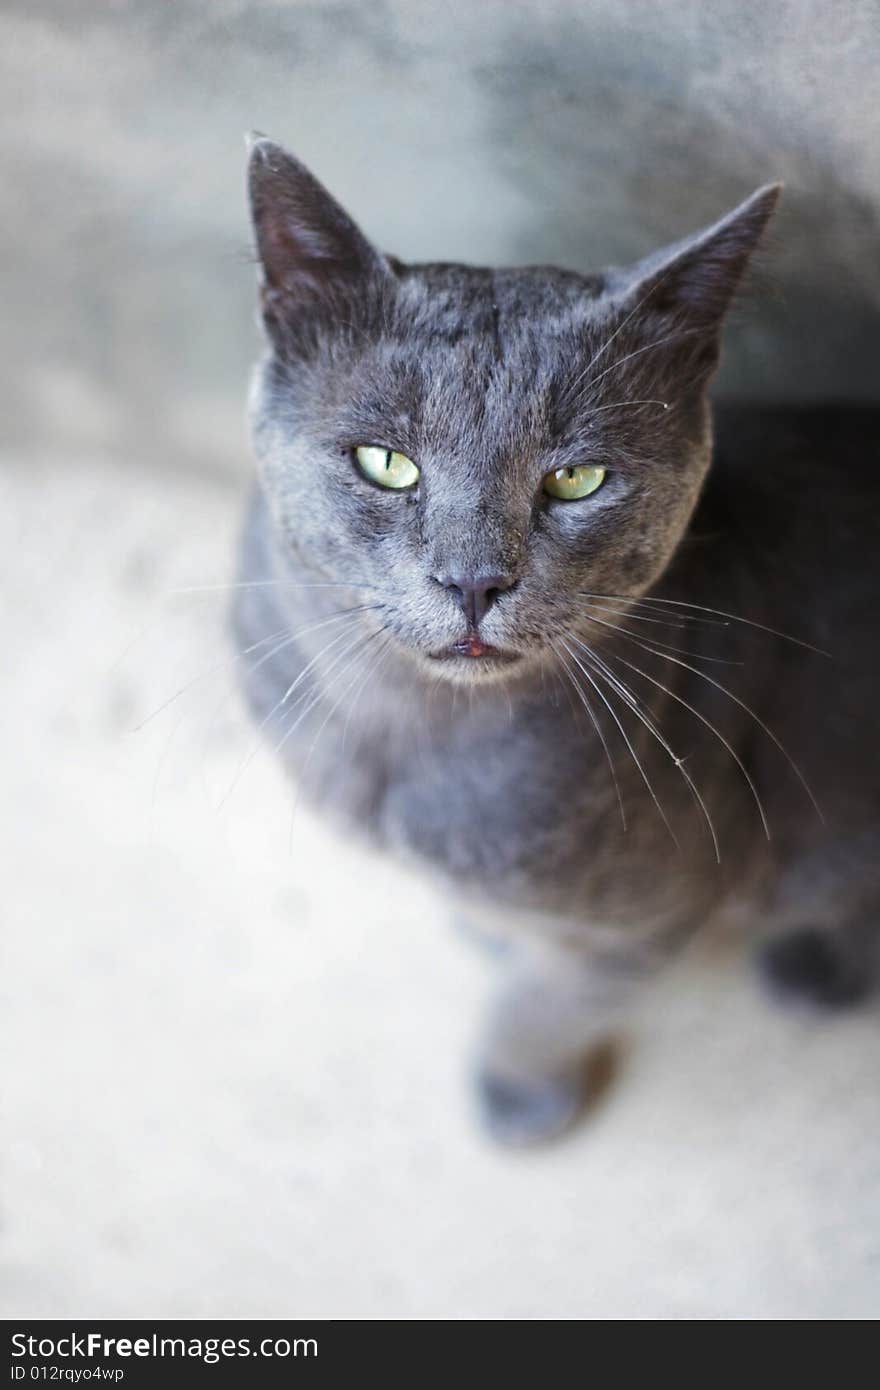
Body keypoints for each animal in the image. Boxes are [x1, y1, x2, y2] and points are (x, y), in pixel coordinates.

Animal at [233, 135, 878, 1145]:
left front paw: (518, 1091)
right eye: (386, 462)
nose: (473, 580)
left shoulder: (657, 913)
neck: (404, 741)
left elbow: (551, 1001)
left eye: (578, 479)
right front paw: (487, 930)